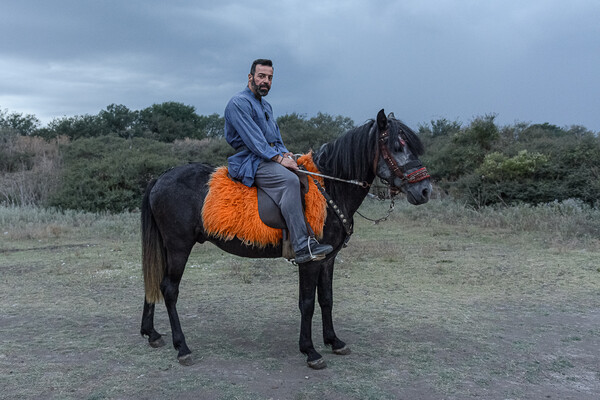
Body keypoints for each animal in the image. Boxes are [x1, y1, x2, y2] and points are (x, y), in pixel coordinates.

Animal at [141, 109, 432, 368]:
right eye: (397, 147)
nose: (425, 190)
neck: (330, 188)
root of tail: (160, 177)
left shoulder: (328, 260)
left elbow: (326, 299)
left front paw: (334, 341)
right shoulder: (311, 261)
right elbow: (307, 303)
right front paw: (310, 351)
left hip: (167, 247)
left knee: (154, 281)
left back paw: (151, 333)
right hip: (179, 247)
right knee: (169, 289)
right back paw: (182, 347)